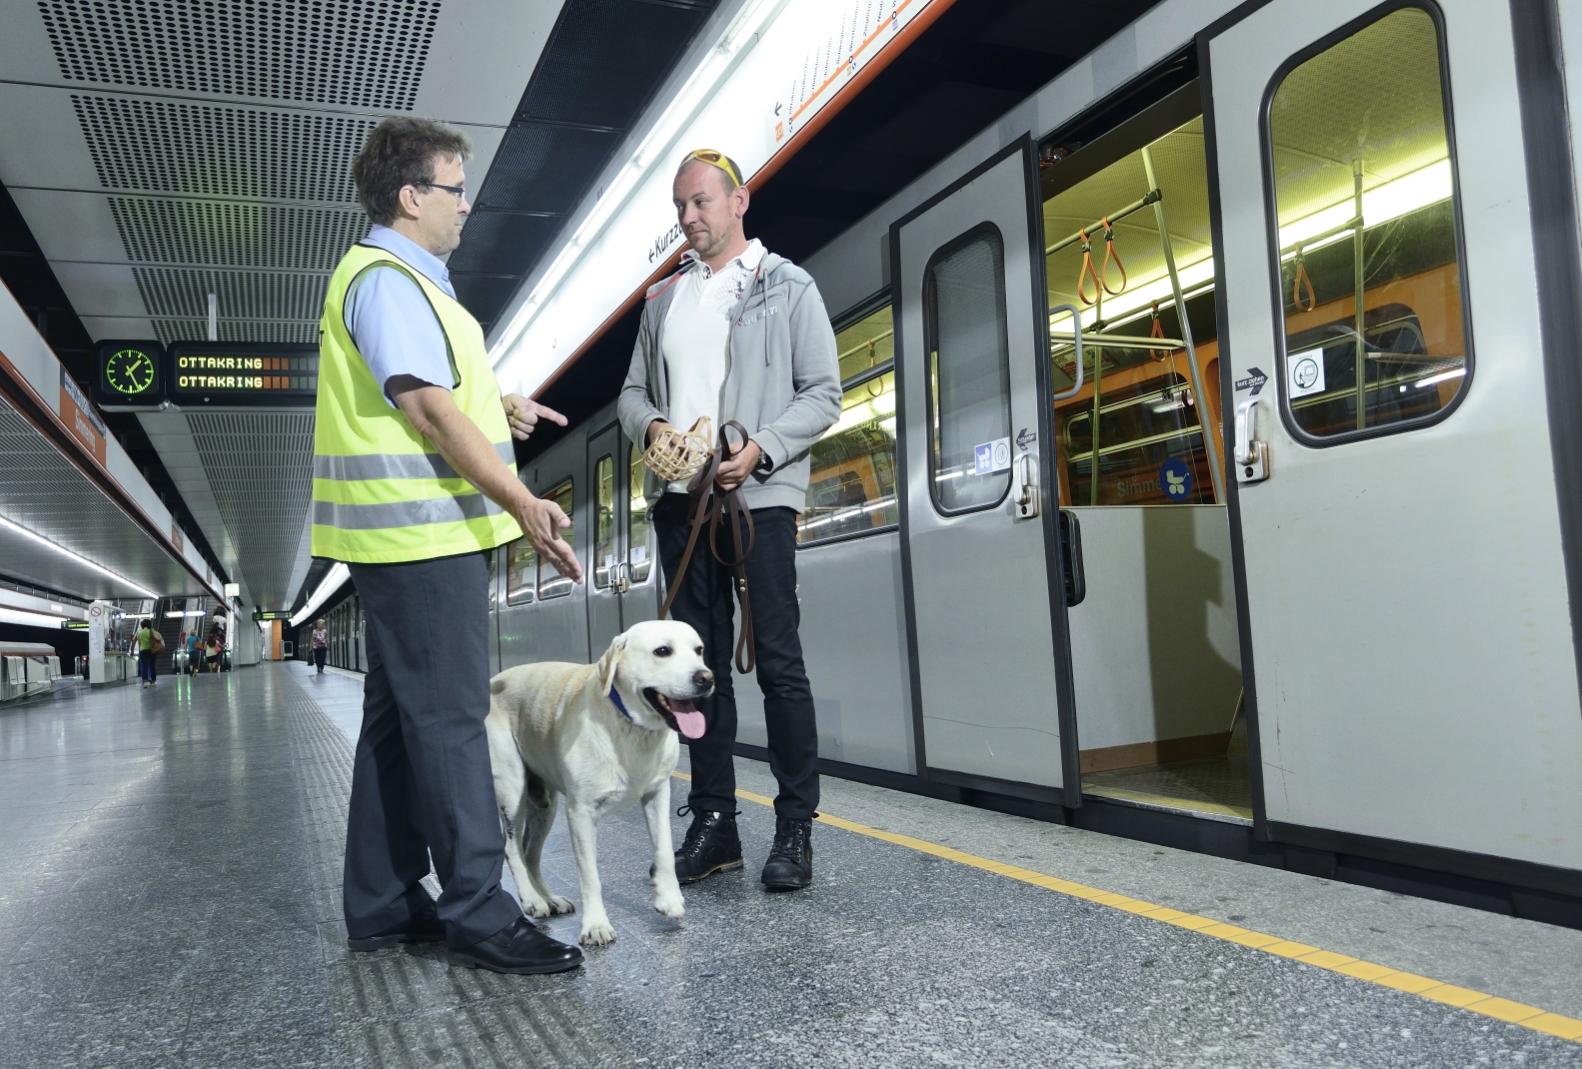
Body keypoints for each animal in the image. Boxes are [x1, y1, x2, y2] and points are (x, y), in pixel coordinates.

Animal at [484, 623, 715, 948]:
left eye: (699, 650)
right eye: (662, 651)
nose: (706, 678)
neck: (631, 728)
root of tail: (493, 680)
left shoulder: (658, 795)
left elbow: (664, 851)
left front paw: (669, 898)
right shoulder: (581, 814)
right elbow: (590, 876)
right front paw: (595, 925)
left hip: (546, 805)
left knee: (530, 853)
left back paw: (550, 898)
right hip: (511, 787)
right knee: (512, 848)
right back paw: (532, 899)